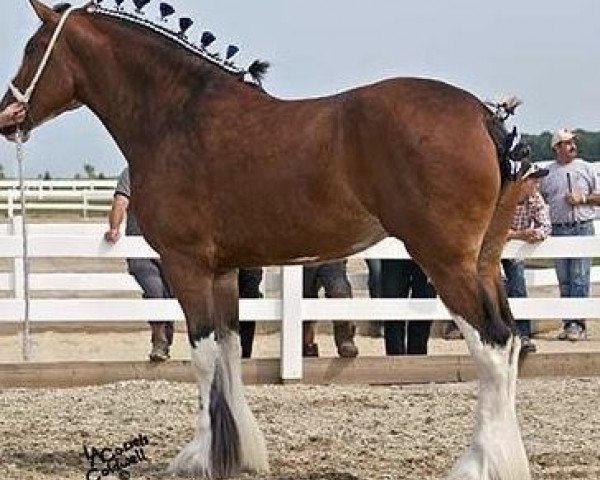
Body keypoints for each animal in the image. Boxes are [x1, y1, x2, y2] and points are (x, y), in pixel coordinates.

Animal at [1, 1, 536, 478]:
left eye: (33, 48)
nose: (7, 116)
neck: (177, 115)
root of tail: (484, 115)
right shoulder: (224, 270)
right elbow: (230, 351)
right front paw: (237, 454)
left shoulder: (185, 264)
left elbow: (203, 356)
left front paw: (200, 458)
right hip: (484, 262)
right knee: (510, 341)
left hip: (446, 262)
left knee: (491, 344)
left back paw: (476, 464)